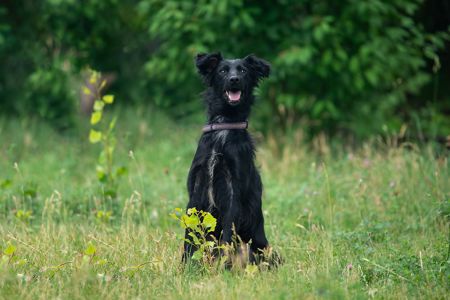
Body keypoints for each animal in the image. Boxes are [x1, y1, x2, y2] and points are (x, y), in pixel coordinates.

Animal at [184, 52, 274, 264]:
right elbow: (189, 233)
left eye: (243, 70)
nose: (234, 79)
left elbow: (227, 234)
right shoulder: (196, 188)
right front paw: (185, 265)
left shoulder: (234, 188)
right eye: (223, 71)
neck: (225, 126)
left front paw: (224, 264)